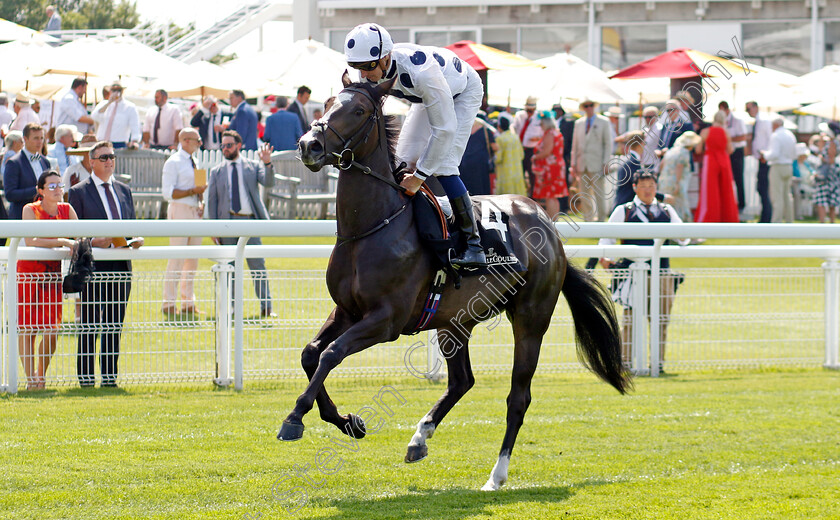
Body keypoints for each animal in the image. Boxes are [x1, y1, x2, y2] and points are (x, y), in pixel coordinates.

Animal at [284, 74, 632, 492]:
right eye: (327, 103)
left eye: (359, 110)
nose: (310, 145)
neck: (374, 225)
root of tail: (548, 227)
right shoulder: (348, 310)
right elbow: (310, 353)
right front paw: (348, 422)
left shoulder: (385, 320)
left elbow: (332, 354)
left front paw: (295, 418)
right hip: (454, 321)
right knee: (462, 381)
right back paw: (419, 438)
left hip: (531, 318)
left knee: (518, 397)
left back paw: (496, 476)